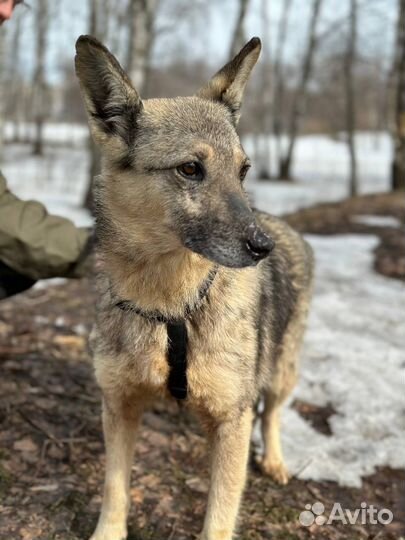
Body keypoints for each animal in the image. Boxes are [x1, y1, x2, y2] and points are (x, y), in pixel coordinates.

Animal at [75, 34, 312, 540]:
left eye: (243, 171)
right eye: (189, 169)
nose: (261, 247)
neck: (172, 308)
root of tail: (281, 225)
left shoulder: (232, 421)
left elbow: (220, 516)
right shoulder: (118, 405)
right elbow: (115, 489)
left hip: (281, 372)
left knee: (272, 414)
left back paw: (275, 460)